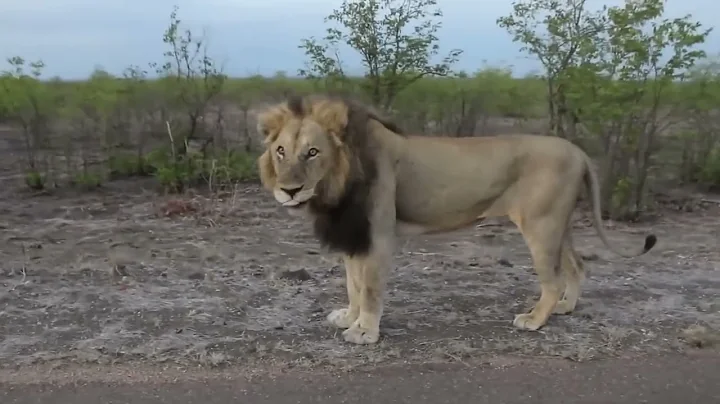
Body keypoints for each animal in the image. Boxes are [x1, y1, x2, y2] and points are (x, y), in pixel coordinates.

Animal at [255, 93, 658, 345]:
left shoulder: (378, 234)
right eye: (280, 151)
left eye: (312, 152)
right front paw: (349, 316)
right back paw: (565, 308)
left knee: (554, 279)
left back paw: (534, 319)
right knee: (576, 267)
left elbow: (368, 289)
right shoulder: (356, 235)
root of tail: (578, 150)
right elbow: (353, 284)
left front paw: (364, 332)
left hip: (541, 226)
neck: (338, 183)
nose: (289, 190)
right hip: (560, 224)